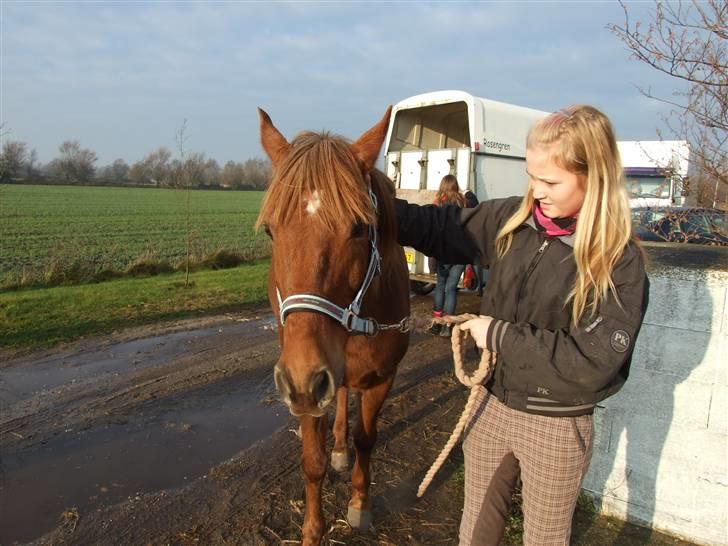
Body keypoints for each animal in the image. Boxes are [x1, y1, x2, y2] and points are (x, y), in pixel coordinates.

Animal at [258, 107, 412, 544]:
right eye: (271, 230)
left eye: (359, 227)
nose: (306, 375)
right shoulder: (302, 386)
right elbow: (313, 460)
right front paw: (312, 530)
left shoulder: (380, 378)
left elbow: (367, 438)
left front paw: (360, 502)